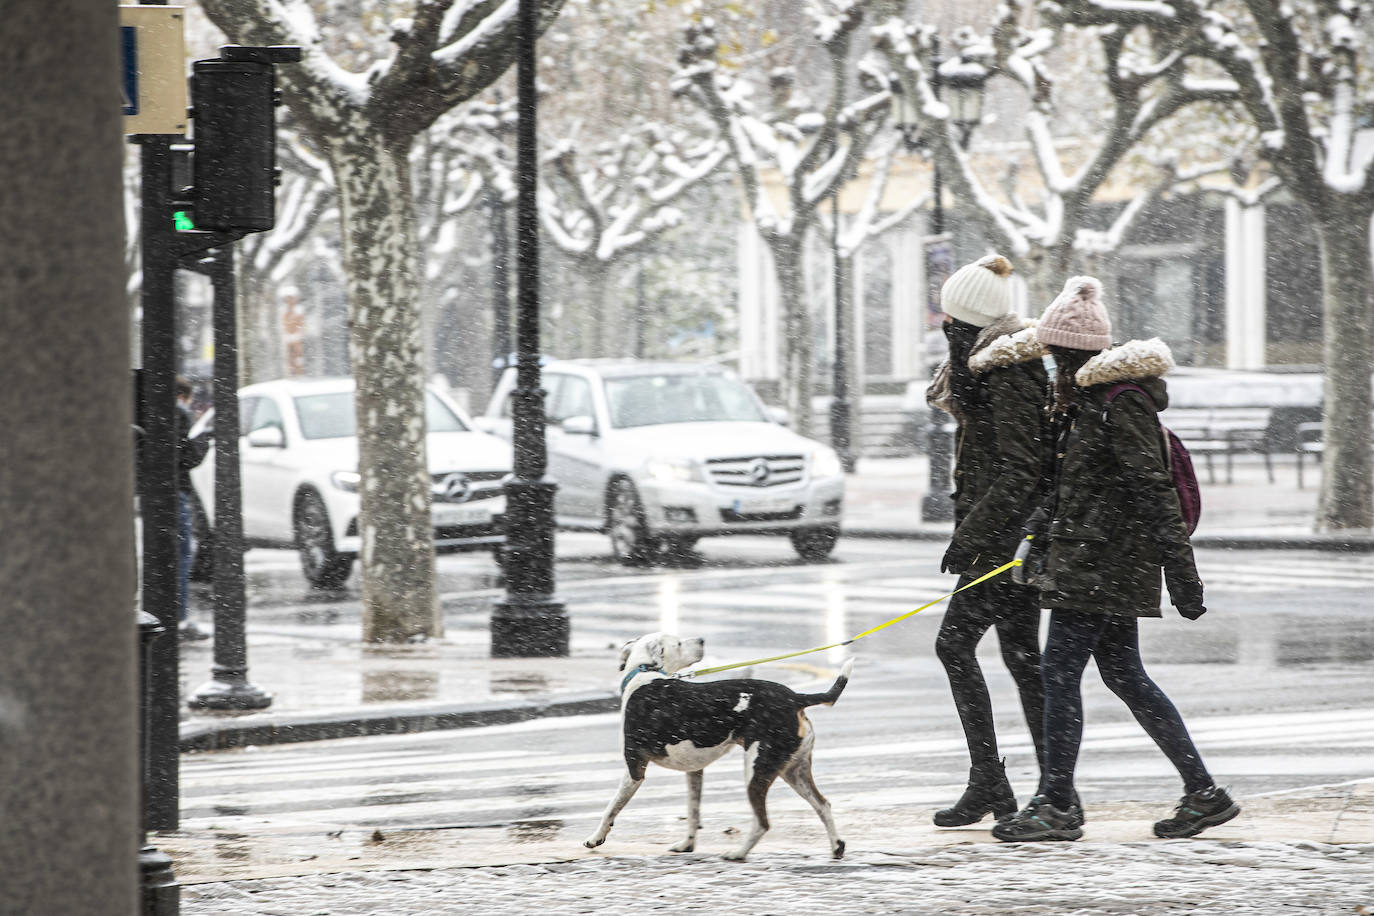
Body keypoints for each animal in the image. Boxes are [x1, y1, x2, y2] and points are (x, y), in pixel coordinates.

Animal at [585, 634, 851, 862]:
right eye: (679, 643)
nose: (702, 640)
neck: (643, 676)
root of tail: (796, 698)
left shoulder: (634, 769)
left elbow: (611, 808)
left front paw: (595, 838)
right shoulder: (694, 771)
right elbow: (693, 812)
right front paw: (687, 845)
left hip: (757, 770)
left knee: (762, 823)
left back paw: (737, 853)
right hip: (794, 770)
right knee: (823, 805)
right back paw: (837, 847)